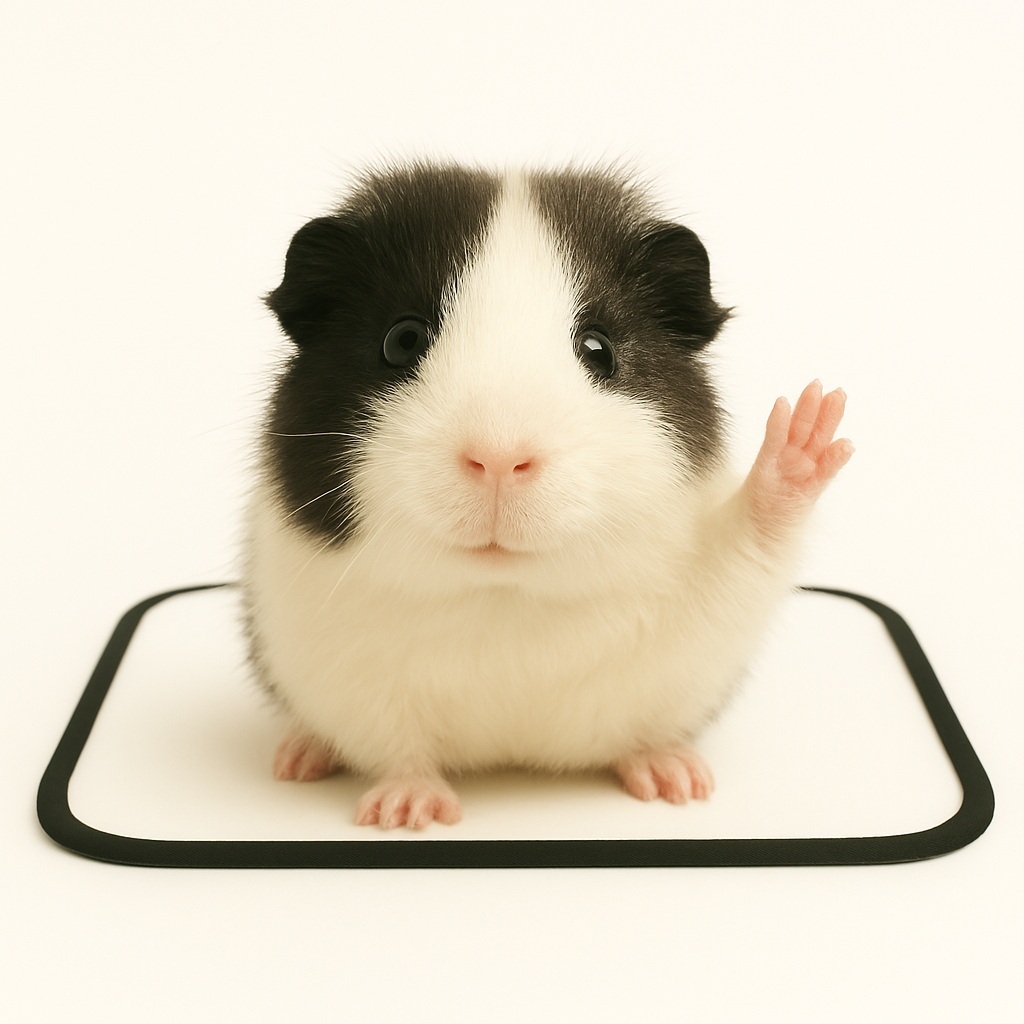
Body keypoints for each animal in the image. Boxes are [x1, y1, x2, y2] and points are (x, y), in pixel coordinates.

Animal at [242, 162, 853, 830]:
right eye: (401, 340)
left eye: (598, 348)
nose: (499, 457)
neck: (505, 594)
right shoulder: (350, 678)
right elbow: (399, 753)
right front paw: (407, 814)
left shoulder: (702, 606)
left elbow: (749, 542)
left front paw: (810, 424)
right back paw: (298, 761)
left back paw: (671, 774)